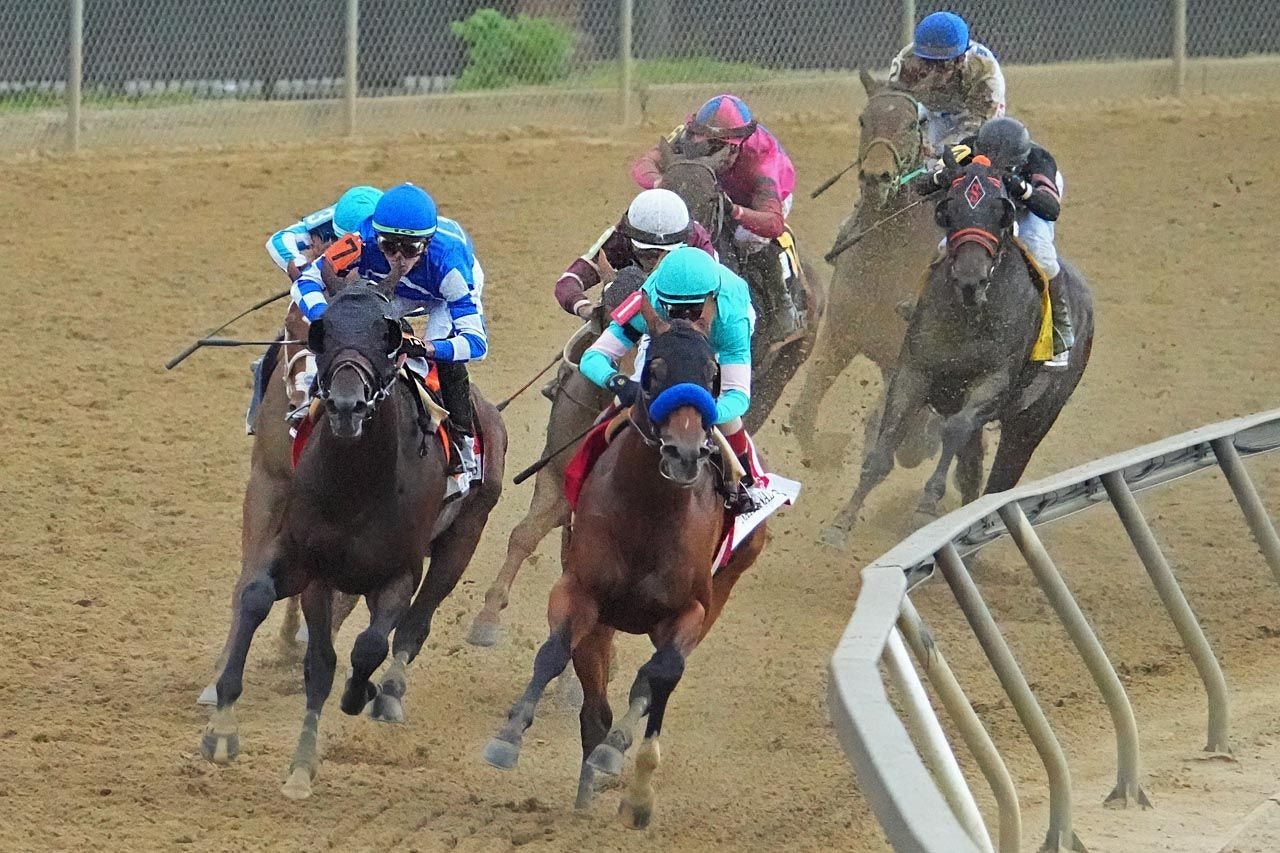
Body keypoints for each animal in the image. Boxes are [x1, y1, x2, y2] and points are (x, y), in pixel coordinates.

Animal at [199, 285, 504, 799]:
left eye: (388, 338)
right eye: (324, 332)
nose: (346, 406)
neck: (358, 485)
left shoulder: (399, 573)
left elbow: (370, 646)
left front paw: (359, 693)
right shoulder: (308, 558)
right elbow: (288, 630)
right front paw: (235, 735)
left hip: (463, 538)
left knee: (414, 625)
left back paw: (389, 695)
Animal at [478, 295, 757, 824]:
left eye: (713, 374)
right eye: (654, 371)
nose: (685, 454)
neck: (649, 511)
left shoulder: (690, 611)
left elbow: (657, 677)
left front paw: (623, 758)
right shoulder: (580, 592)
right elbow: (553, 654)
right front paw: (507, 737)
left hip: (720, 593)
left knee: (656, 687)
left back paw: (634, 785)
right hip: (603, 622)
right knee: (596, 705)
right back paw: (587, 791)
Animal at [788, 71, 942, 471]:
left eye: (913, 123)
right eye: (863, 119)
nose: (877, 177)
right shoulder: (840, 336)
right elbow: (802, 415)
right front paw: (827, 452)